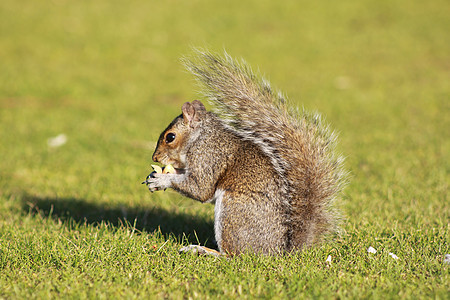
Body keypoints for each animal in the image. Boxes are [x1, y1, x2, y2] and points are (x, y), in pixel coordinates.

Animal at [142, 50, 346, 256]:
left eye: (170, 137)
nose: (155, 158)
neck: (199, 136)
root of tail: (279, 250)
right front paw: (154, 175)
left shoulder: (208, 156)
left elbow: (200, 189)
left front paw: (162, 179)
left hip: (233, 209)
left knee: (234, 255)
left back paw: (204, 250)